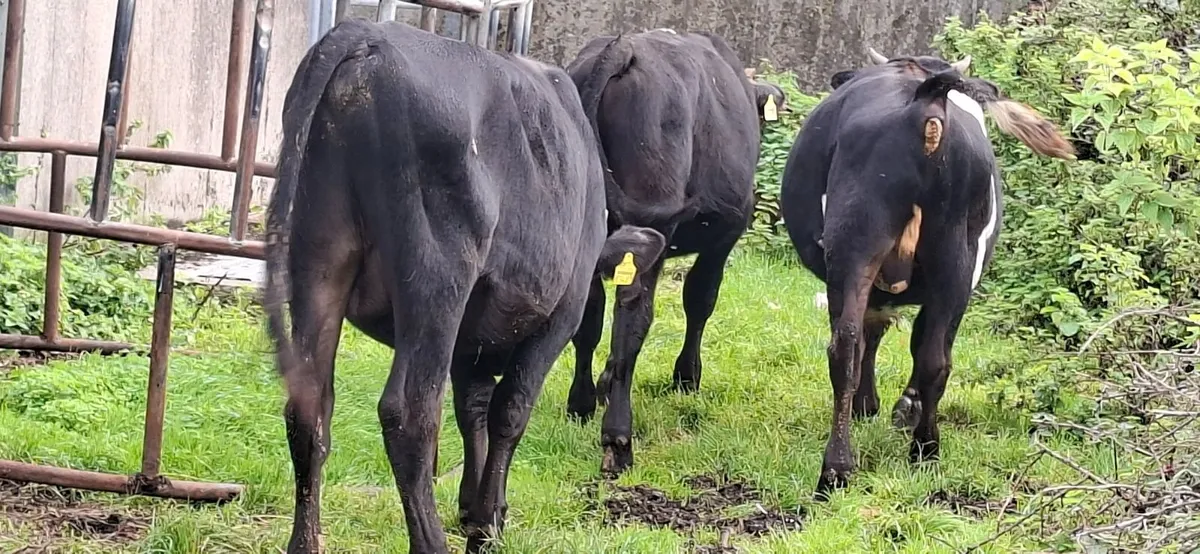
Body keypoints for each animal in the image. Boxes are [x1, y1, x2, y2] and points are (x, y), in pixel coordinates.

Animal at [262, 20, 667, 553]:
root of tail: (366, 34)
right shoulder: (560, 315)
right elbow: (509, 412)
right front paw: (487, 524)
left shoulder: (470, 341)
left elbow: (472, 409)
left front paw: (475, 510)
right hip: (437, 278)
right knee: (410, 413)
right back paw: (432, 541)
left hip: (317, 262)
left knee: (308, 409)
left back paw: (306, 543)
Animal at [563, 29, 785, 474]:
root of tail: (624, 48)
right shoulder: (725, 238)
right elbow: (700, 300)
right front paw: (687, 376)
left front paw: (604, 384)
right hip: (653, 222)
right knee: (633, 316)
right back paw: (618, 438)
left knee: (590, 315)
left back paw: (581, 403)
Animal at [779, 48, 1075, 497]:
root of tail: (927, 96)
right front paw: (900, 407)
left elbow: (875, 332)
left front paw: (878, 405)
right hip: (952, 257)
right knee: (930, 355)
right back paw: (918, 450)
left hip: (858, 243)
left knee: (850, 346)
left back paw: (847, 465)